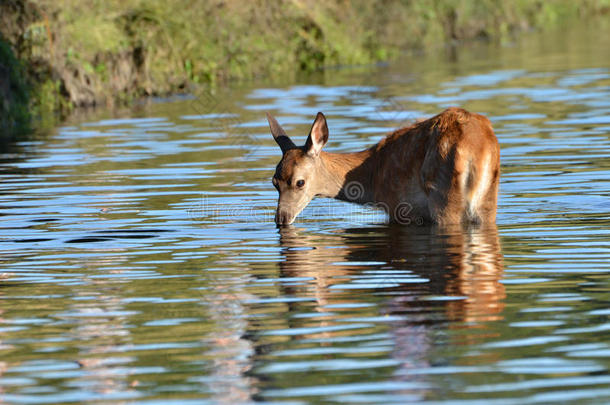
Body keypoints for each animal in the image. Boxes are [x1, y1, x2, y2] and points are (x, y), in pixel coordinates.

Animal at [266, 107, 498, 226]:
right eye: (274, 182)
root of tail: (479, 147)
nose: (281, 219)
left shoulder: (400, 208)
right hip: (488, 199)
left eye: (300, 182)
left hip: (444, 197)